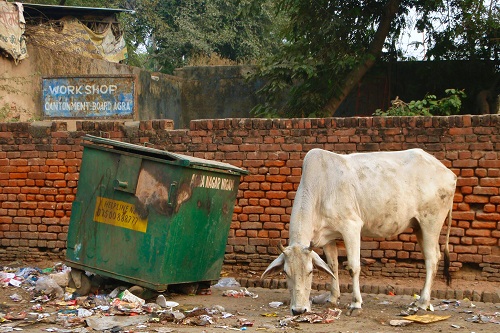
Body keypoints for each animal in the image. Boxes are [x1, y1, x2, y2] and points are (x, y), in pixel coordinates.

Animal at [262, 148, 458, 314]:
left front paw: (356, 303)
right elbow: (332, 266)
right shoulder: (328, 238)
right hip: (418, 226)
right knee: (431, 256)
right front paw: (333, 297)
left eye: (310, 271)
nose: (299, 310)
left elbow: (353, 267)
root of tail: (450, 174)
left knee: (432, 259)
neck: (319, 188)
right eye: (286, 272)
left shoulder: (351, 227)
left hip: (430, 222)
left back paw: (423, 302)